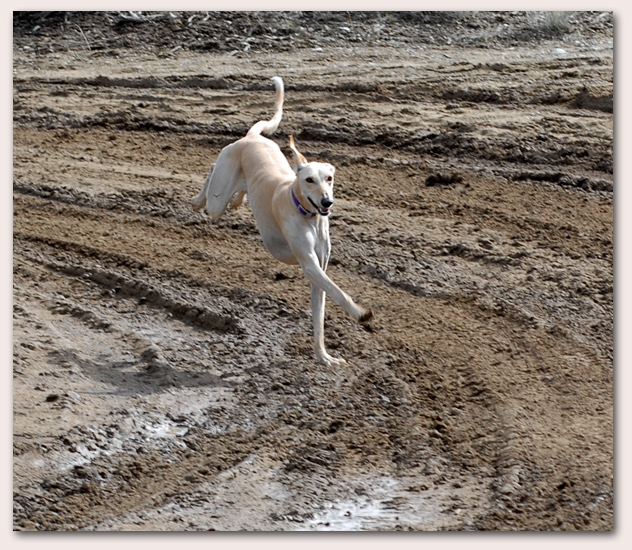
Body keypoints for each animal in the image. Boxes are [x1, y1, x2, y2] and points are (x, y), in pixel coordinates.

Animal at [193, 74, 370, 366]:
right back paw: (198, 200)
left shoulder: (319, 266)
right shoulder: (309, 264)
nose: (327, 202)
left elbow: (320, 314)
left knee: (236, 190)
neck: (306, 214)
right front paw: (360, 312)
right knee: (211, 176)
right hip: (217, 198)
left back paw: (239, 200)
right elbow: (336, 290)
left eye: (329, 178)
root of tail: (252, 137)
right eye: (309, 179)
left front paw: (324, 356)